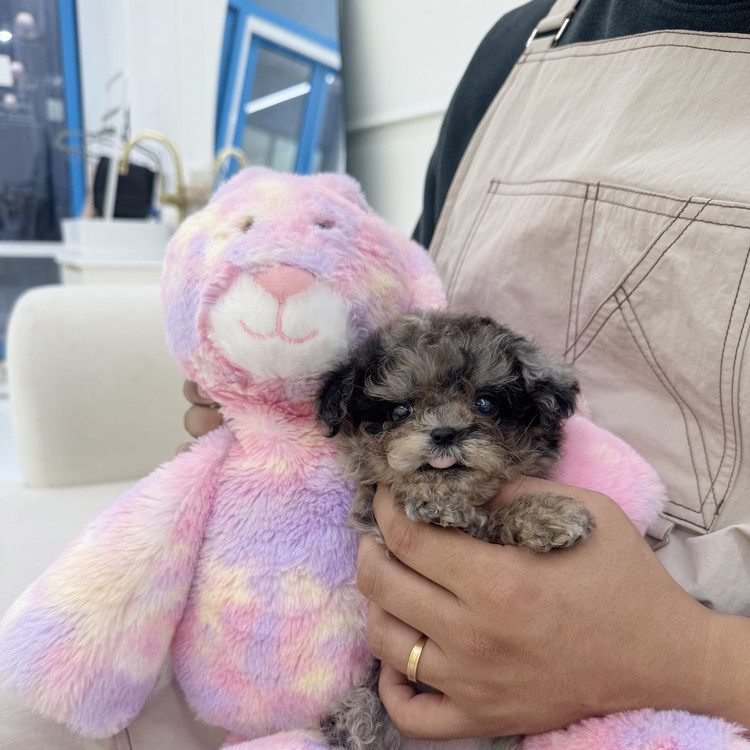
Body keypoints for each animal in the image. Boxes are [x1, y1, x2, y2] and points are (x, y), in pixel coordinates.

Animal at [316, 310, 596, 750]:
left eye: (485, 403)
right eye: (400, 411)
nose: (445, 433)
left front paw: (545, 513)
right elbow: (473, 518)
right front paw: (438, 502)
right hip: (361, 706)